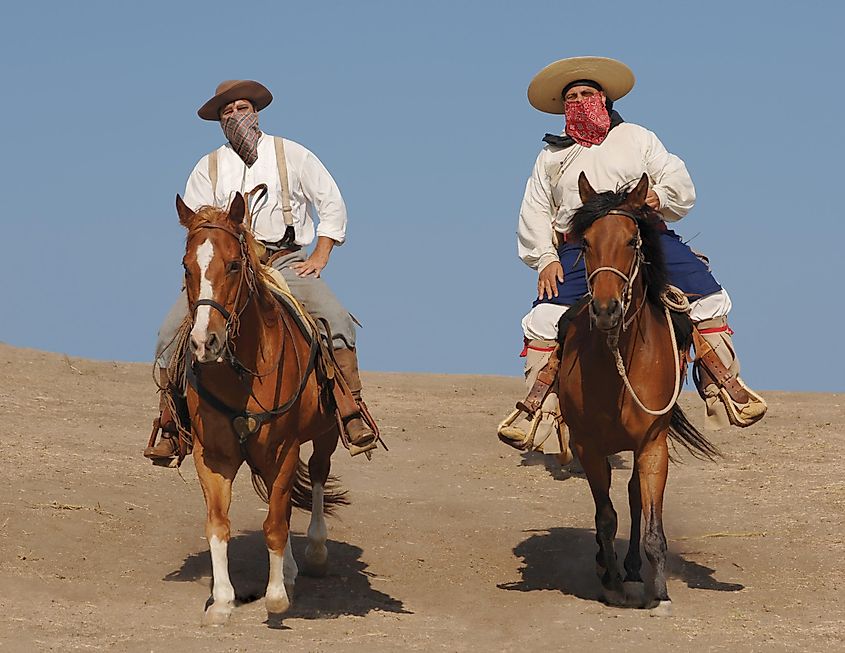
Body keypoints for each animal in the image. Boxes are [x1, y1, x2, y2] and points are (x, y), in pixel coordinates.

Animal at [176, 191, 348, 624]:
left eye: (234, 264)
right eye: (186, 267)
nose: (205, 343)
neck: (242, 375)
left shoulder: (284, 448)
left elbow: (275, 524)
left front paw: (275, 598)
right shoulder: (213, 455)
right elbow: (218, 524)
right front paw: (222, 601)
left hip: (324, 434)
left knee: (315, 476)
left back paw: (314, 554)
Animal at [560, 171, 720, 612]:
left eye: (633, 241)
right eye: (585, 243)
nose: (606, 309)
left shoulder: (652, 444)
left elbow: (650, 523)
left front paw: (658, 592)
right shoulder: (587, 445)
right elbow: (605, 516)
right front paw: (612, 582)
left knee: (634, 497)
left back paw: (634, 570)